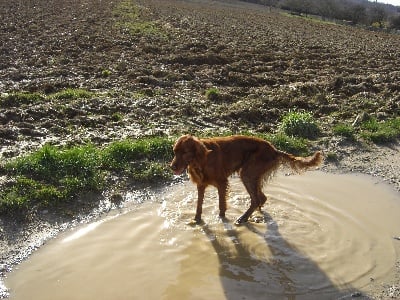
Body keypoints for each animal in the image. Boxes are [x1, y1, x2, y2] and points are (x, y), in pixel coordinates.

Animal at [170, 135, 324, 224]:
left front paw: (221, 219)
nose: (172, 167)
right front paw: (196, 220)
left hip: (247, 174)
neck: (201, 161)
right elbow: (199, 205)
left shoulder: (222, 183)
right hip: (251, 175)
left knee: (256, 199)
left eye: (184, 152)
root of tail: (274, 150)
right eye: (175, 151)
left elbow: (221, 205)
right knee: (261, 198)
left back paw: (243, 218)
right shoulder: (201, 185)